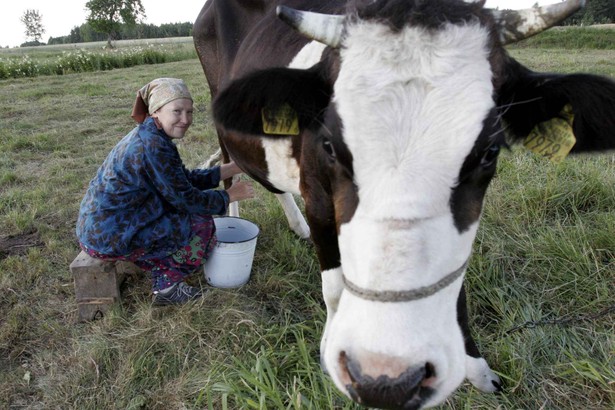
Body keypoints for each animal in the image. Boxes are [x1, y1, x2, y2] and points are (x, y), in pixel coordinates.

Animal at [194, 0, 615, 408]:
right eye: (330, 145)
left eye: (489, 152)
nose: (388, 383)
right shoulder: (317, 196)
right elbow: (334, 287)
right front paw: (330, 352)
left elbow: (455, 289)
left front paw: (477, 368)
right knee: (230, 171)